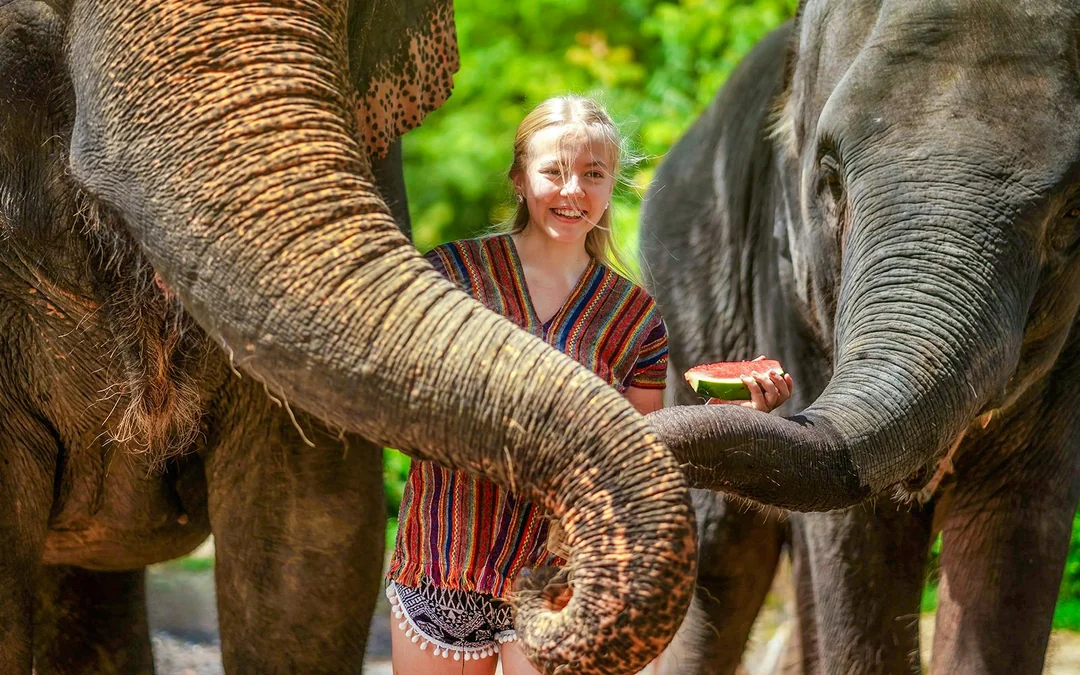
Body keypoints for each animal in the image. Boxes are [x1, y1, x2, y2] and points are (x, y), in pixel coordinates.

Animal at [640, 1, 1080, 673]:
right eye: (830, 180)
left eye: (1074, 214)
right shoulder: (788, 281)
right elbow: (850, 541)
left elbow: (1016, 533)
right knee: (722, 560)